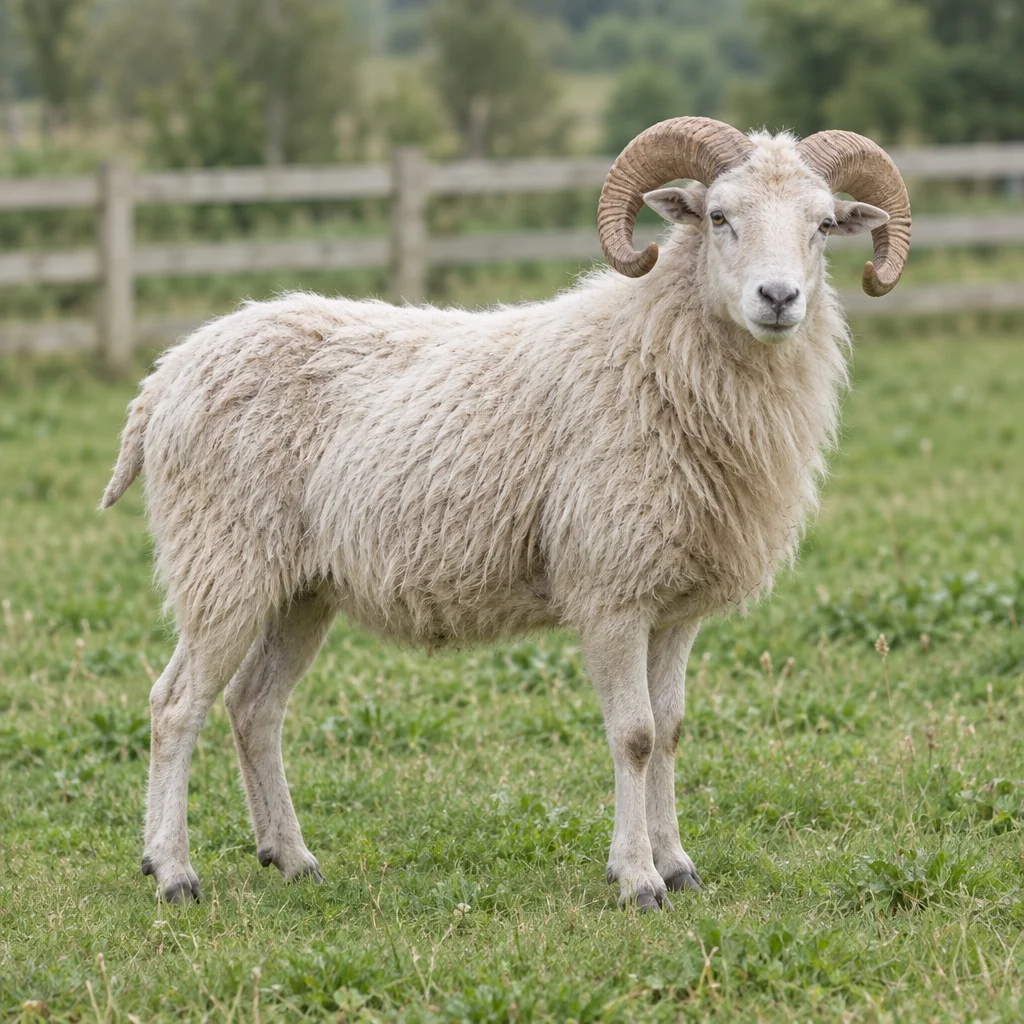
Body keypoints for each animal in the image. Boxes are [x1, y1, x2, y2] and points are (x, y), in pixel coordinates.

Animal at [102, 117, 911, 910]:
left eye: (822, 225)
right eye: (719, 217)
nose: (779, 298)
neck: (652, 357)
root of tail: (167, 374)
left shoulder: (677, 607)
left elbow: (673, 730)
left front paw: (677, 864)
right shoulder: (610, 591)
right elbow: (635, 735)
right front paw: (639, 880)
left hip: (300, 588)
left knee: (254, 707)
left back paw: (292, 858)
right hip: (222, 563)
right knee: (176, 706)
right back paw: (173, 873)